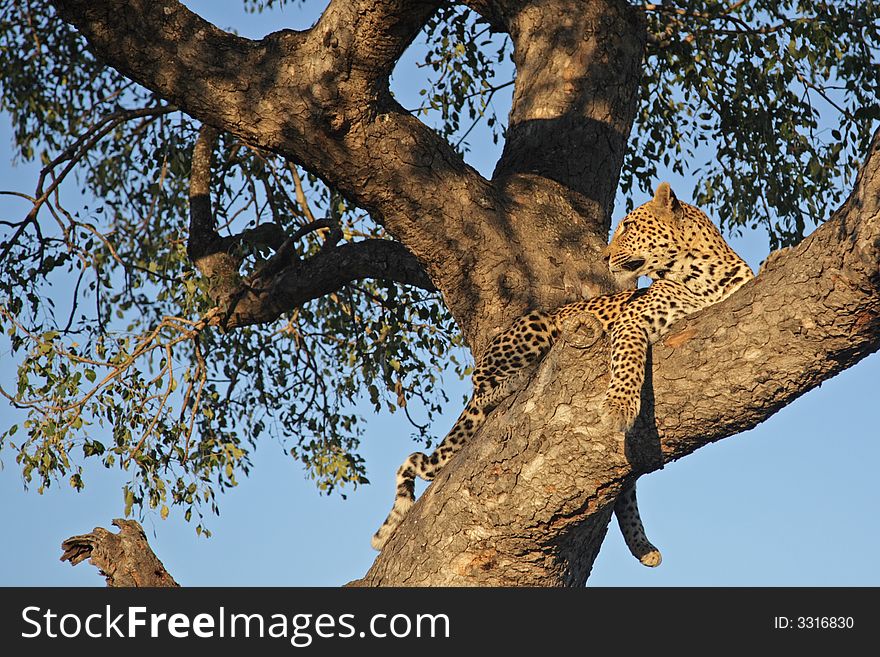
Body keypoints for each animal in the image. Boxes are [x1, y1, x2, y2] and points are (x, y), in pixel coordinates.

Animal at [372, 182, 756, 568]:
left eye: (629, 227)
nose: (604, 257)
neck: (702, 272)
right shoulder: (632, 321)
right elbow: (628, 362)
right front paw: (619, 407)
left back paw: (643, 547)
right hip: (537, 323)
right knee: (481, 381)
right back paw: (516, 381)